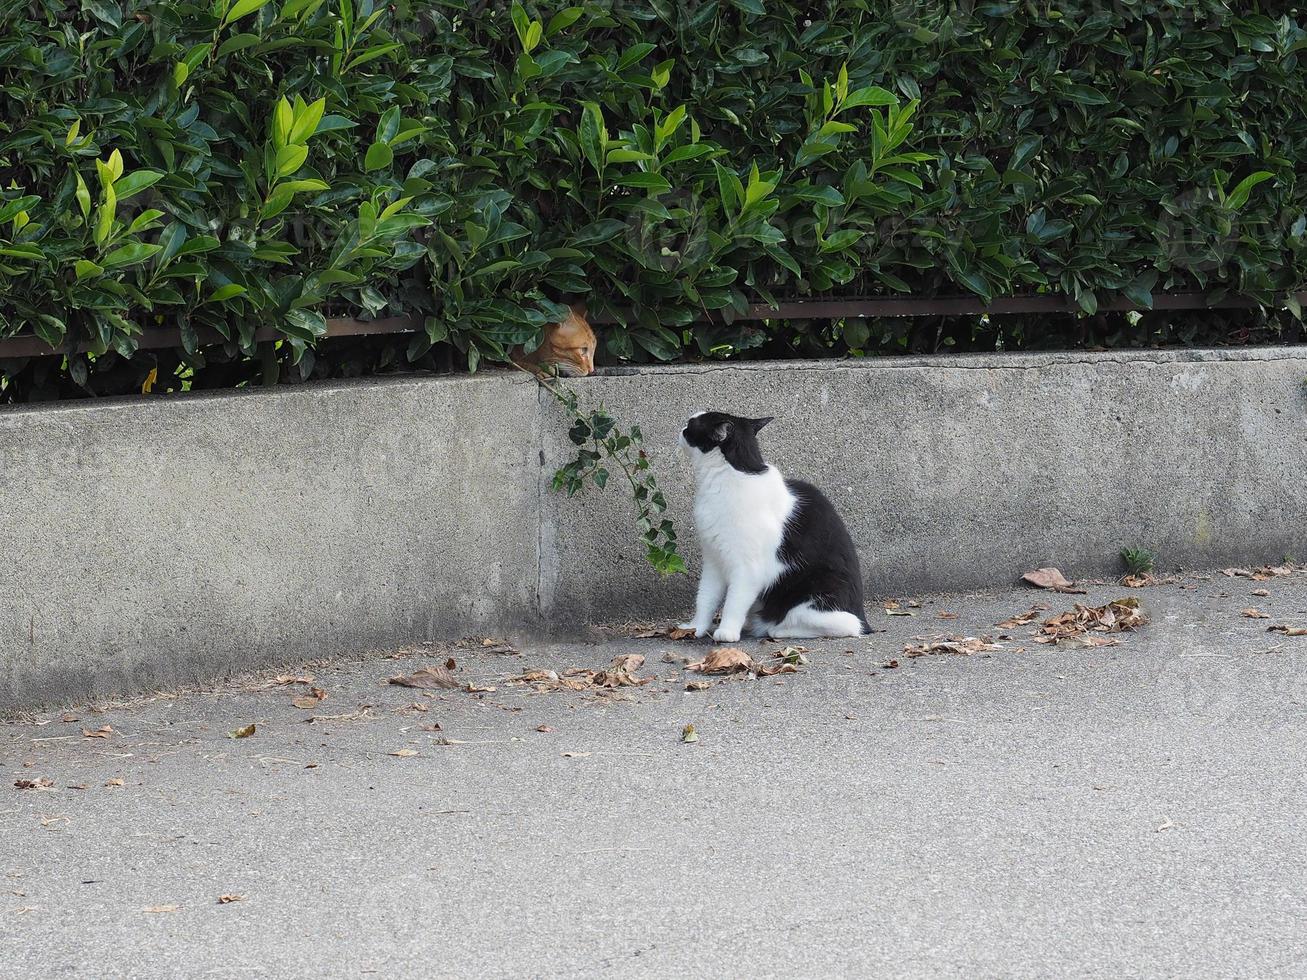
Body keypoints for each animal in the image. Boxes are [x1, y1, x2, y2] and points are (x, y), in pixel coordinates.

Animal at [674, 412, 867, 645]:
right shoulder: (713, 560)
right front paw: (695, 627)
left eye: (691, 425)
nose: (681, 428)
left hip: (816, 595)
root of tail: (863, 615)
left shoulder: (748, 569)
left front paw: (727, 631)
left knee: (848, 625)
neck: (729, 475)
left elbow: (734, 601)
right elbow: (705, 598)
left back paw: (779, 630)